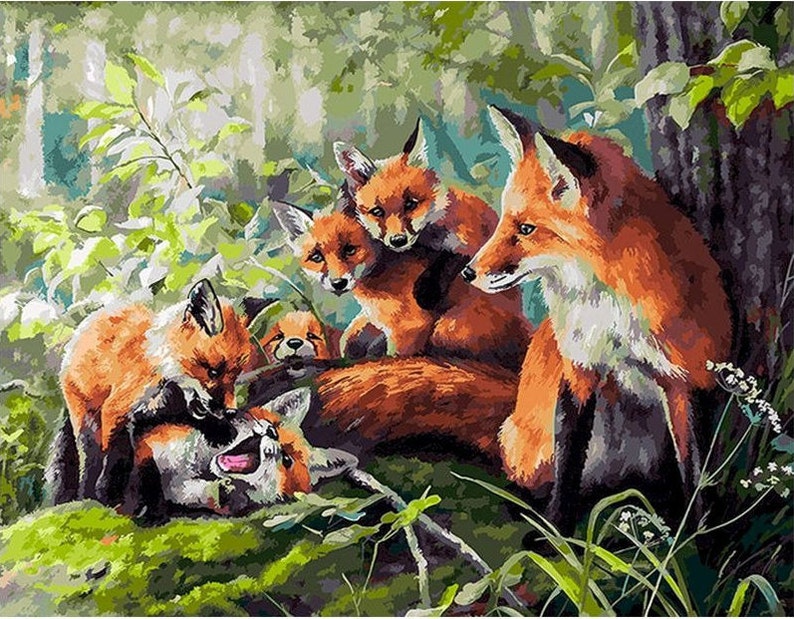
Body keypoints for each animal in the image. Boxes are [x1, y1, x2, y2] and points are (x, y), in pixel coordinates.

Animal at [56, 279, 269, 506]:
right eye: (213, 371)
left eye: (235, 376)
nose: (230, 412)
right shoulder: (117, 408)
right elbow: (118, 453)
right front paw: (108, 490)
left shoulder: (165, 406)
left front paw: (218, 428)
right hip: (86, 422)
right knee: (90, 460)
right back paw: (85, 493)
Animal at [271, 193, 532, 371]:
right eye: (316, 257)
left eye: (349, 250)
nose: (338, 283)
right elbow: (349, 341)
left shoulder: (409, 328)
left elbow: (395, 358)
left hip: (447, 328)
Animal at [461, 106, 732, 514]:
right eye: (505, 221)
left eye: (526, 229)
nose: (468, 272)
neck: (609, 312)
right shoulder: (580, 369)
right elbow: (567, 469)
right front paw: (555, 530)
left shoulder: (687, 376)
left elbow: (696, 476)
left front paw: (700, 530)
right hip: (543, 445)